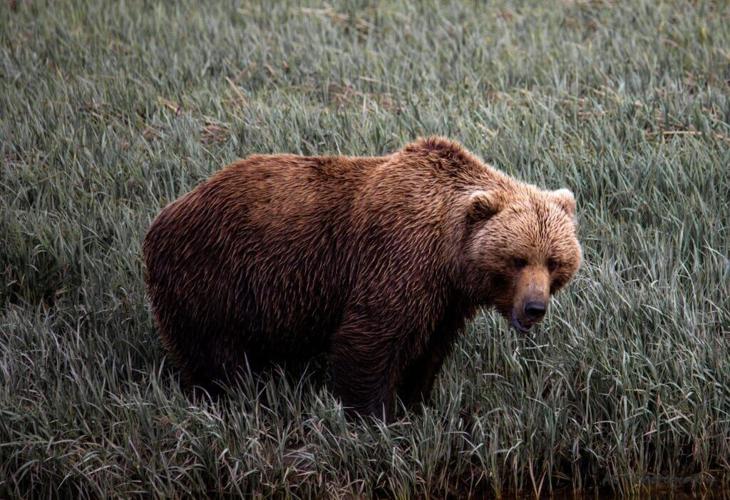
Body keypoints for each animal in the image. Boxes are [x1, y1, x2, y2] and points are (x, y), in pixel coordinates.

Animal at [143, 137, 581, 420]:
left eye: (554, 261)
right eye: (517, 259)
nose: (534, 307)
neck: (448, 256)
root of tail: (167, 211)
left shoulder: (445, 300)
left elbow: (429, 349)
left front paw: (416, 403)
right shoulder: (397, 259)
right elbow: (371, 338)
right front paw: (373, 416)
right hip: (212, 274)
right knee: (214, 351)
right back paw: (225, 396)